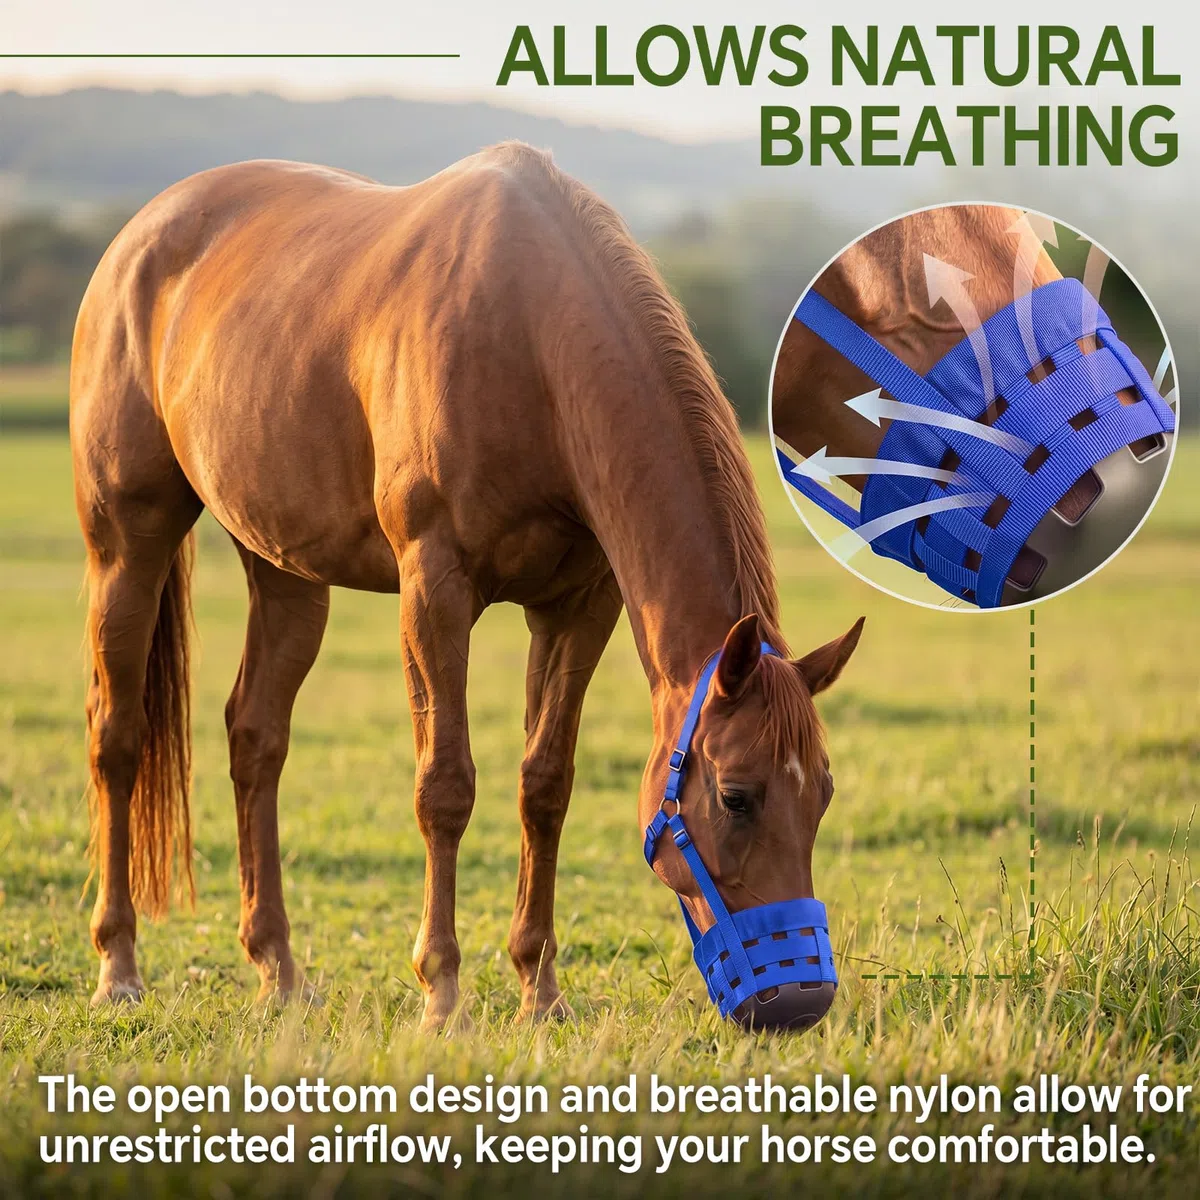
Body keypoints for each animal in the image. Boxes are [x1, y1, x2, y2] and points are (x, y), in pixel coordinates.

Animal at [70, 143, 863, 1032]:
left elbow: (545, 784)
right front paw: (441, 992)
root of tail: (141, 236)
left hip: (285, 572)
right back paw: (119, 965)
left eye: (824, 794)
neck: (529, 344)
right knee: (117, 735)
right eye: (735, 797)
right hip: (126, 544)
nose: (800, 1000)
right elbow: (444, 786)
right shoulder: (435, 589)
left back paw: (278, 968)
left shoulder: (576, 607)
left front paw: (539, 989)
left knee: (256, 737)